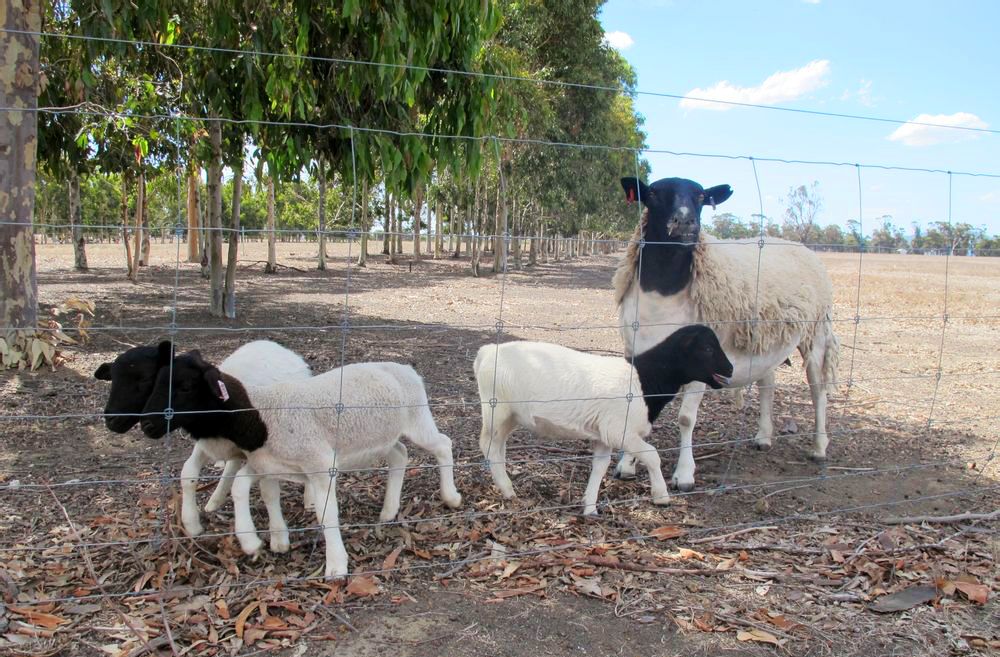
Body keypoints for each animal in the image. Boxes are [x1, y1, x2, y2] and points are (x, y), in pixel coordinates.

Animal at [94, 338, 314, 544]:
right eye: (112, 379)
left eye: (146, 378)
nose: (110, 420)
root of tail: (278, 347)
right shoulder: (206, 443)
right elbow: (188, 473)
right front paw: (191, 523)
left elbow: (268, 488)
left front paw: (276, 537)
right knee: (232, 465)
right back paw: (215, 500)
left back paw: (309, 499)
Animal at [139, 352, 462, 576]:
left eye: (185, 387)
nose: (147, 424)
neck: (260, 413)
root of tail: (405, 368)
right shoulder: (266, 464)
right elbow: (250, 490)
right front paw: (259, 541)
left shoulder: (320, 463)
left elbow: (326, 514)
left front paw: (336, 566)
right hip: (383, 436)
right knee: (399, 455)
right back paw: (388, 511)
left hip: (418, 418)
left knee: (443, 445)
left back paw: (451, 497)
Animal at [472, 326, 732, 516]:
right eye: (707, 348)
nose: (730, 369)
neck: (645, 380)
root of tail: (487, 352)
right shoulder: (620, 430)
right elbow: (652, 455)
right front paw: (661, 496)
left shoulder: (604, 434)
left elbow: (600, 466)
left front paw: (589, 507)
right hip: (497, 409)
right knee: (488, 445)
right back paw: (508, 490)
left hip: (510, 415)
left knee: (497, 447)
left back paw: (505, 484)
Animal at [612, 177, 840, 490]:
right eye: (654, 193)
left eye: (701, 196)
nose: (685, 221)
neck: (663, 293)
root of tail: (797, 244)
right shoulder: (637, 352)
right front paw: (627, 465)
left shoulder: (701, 360)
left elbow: (686, 418)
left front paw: (684, 475)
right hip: (765, 340)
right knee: (767, 384)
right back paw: (763, 437)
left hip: (815, 334)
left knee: (818, 390)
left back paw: (819, 447)